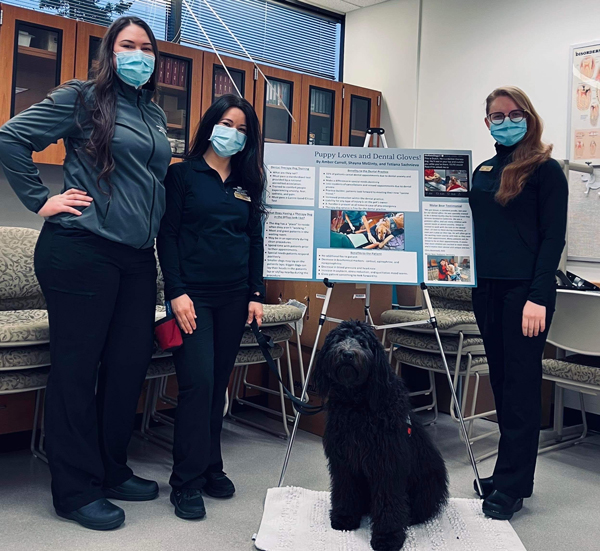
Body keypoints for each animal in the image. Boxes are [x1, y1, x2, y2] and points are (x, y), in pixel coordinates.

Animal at [316, 322, 448, 548]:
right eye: (339, 340)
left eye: (362, 343)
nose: (347, 354)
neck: (356, 404)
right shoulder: (343, 460)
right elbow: (345, 489)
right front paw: (345, 517)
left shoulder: (387, 464)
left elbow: (389, 503)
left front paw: (387, 537)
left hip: (427, 484)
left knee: (419, 508)